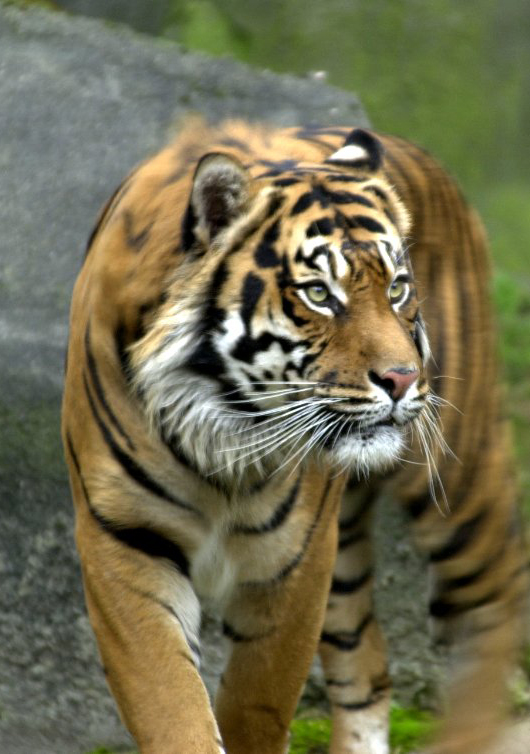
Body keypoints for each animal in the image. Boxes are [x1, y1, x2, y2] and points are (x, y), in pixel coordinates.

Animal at [62, 118, 528, 754]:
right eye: (319, 294)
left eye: (397, 289)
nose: (402, 379)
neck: (220, 427)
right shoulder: (124, 539)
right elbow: (170, 703)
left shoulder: (294, 559)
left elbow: (256, 703)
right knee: (367, 665)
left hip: (456, 476)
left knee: (491, 603)